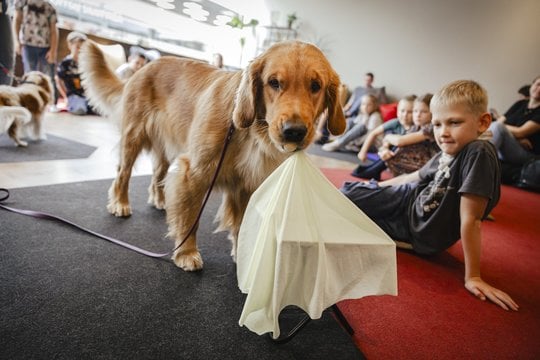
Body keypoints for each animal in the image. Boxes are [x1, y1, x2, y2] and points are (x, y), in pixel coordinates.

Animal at [80, 40, 346, 270]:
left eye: (315, 86)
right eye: (274, 82)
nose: (294, 131)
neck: (249, 131)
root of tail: (144, 67)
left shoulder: (247, 185)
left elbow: (241, 224)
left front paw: (242, 255)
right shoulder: (195, 172)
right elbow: (191, 218)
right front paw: (186, 253)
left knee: (158, 173)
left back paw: (161, 199)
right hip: (133, 137)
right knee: (123, 173)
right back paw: (120, 203)